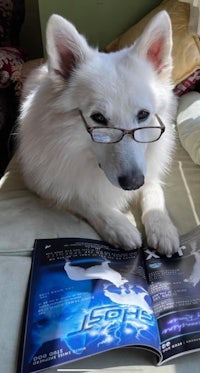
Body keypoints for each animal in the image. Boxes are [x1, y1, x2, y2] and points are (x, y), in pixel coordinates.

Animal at [18, 12, 179, 256]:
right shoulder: (42, 183)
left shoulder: (148, 170)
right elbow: (82, 197)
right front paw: (118, 225)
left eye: (143, 115)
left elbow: (153, 188)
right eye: (99, 118)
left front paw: (162, 226)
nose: (133, 183)